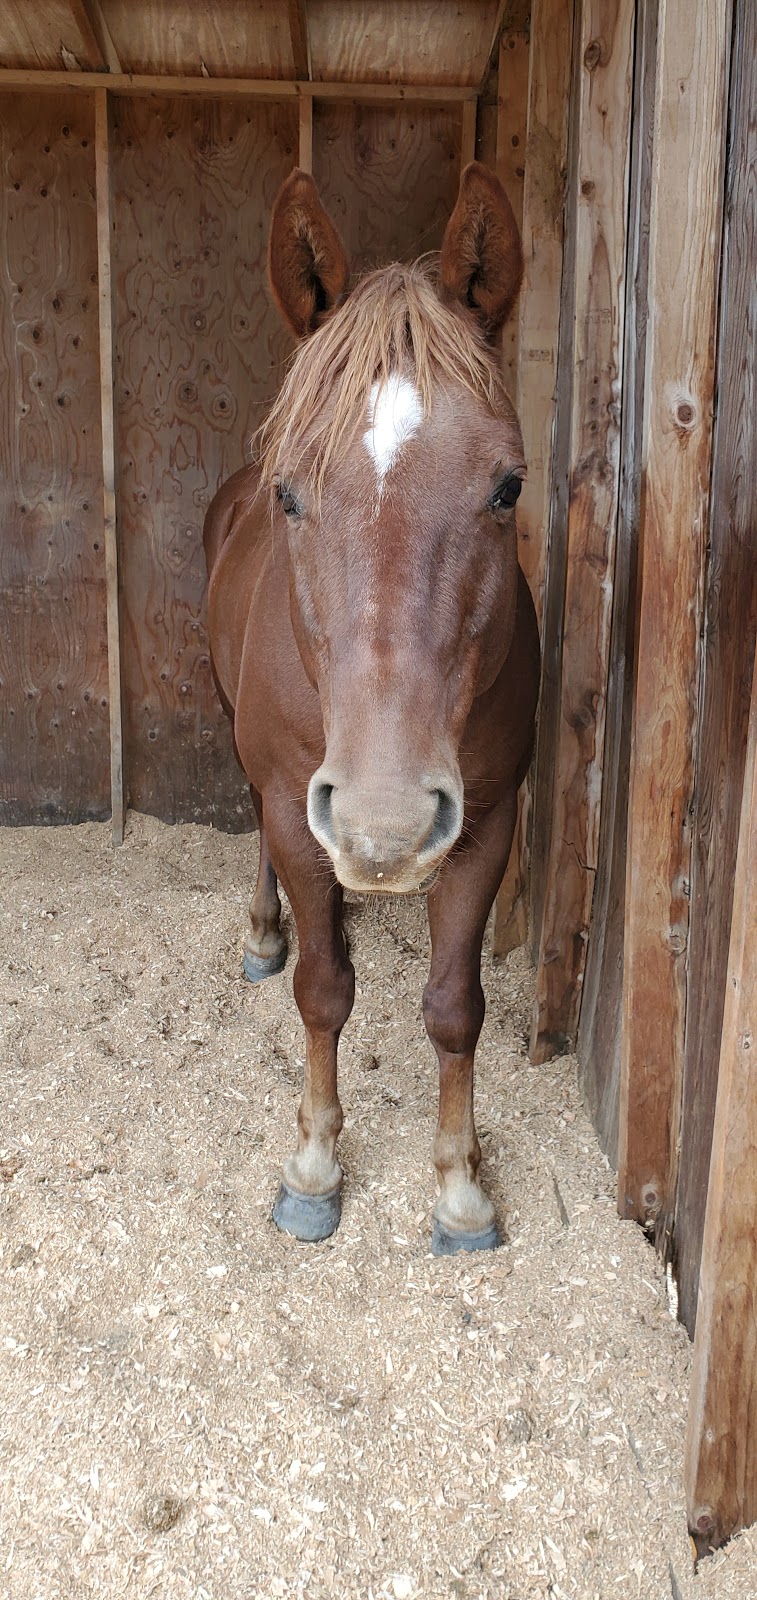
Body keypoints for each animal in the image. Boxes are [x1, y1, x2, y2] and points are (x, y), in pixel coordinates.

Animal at [203, 165, 540, 1260]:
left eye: (506, 486)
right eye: (290, 494)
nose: (381, 826)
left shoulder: (486, 822)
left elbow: (454, 1006)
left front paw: (460, 1187)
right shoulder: (292, 802)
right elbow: (322, 993)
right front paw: (313, 1165)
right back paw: (266, 931)